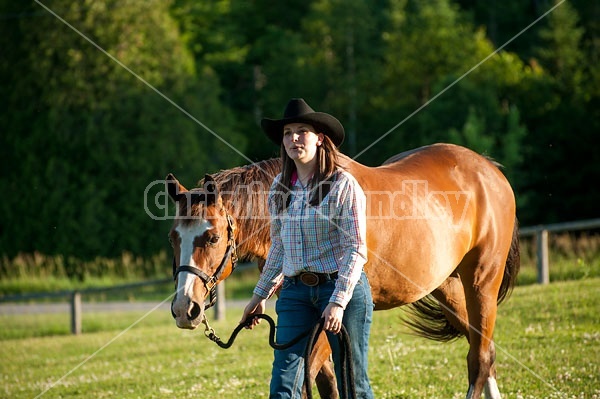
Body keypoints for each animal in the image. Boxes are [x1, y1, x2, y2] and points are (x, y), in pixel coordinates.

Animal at [166, 144, 516, 399]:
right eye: (173, 237)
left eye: (212, 237)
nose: (185, 309)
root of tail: (487, 169)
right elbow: (327, 385)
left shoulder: (325, 324)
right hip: (447, 286)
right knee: (483, 349)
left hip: (481, 281)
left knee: (479, 360)